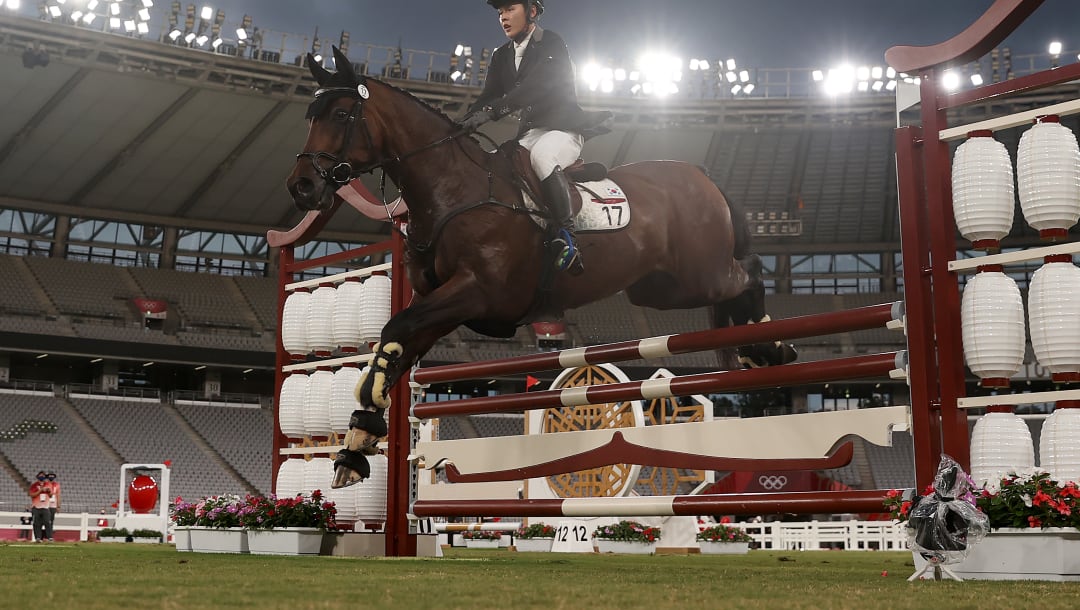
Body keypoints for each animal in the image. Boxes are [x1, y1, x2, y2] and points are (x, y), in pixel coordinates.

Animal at [285, 46, 794, 485]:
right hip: (658, 289)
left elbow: (394, 330)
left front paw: (360, 432)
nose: (302, 187)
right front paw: (357, 442)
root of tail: (702, 174)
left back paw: (770, 347)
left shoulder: (476, 293)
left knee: (749, 271)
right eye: (310, 117)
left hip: (697, 276)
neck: (452, 189)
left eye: (341, 115)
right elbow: (395, 348)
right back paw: (761, 349)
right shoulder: (440, 302)